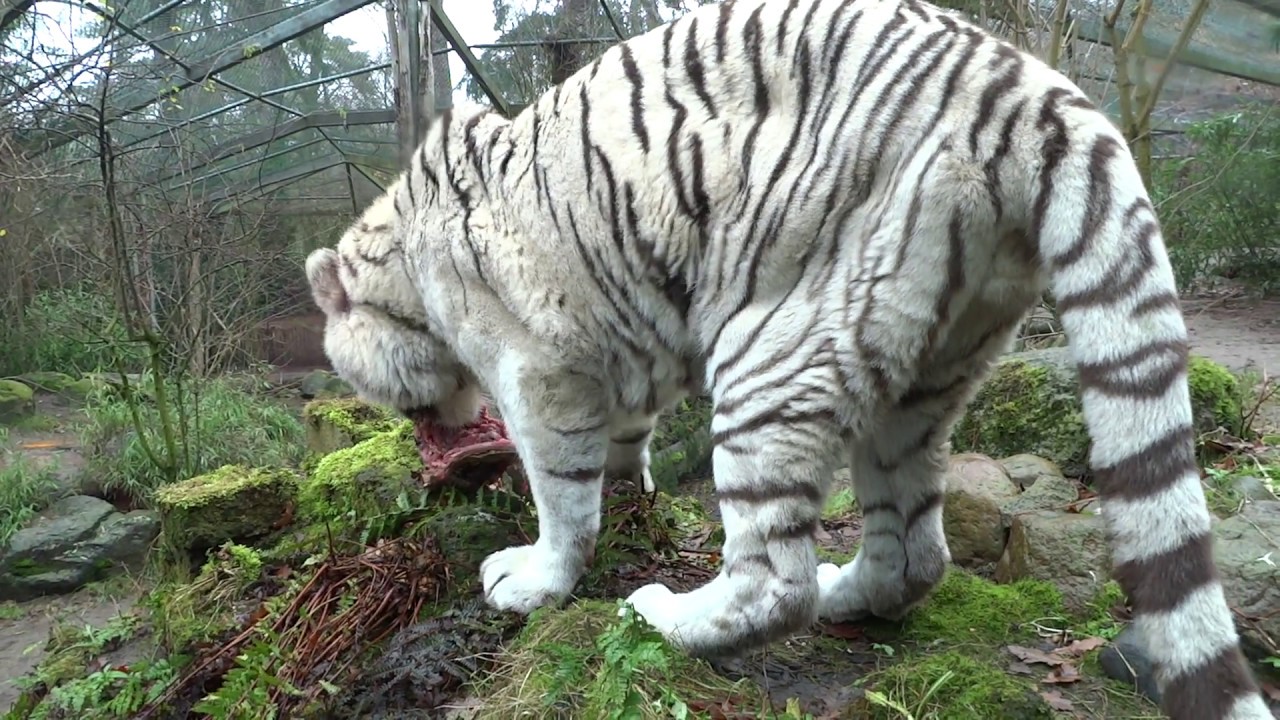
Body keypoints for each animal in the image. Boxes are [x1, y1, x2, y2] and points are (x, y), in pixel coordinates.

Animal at [301, 0, 1269, 716]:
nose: (427, 430)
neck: (402, 260)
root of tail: (1030, 85)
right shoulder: (625, 345)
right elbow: (625, 437)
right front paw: (629, 487)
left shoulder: (541, 369)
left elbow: (561, 490)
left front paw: (536, 579)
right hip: (934, 358)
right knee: (913, 551)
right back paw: (850, 593)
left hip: (769, 346)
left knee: (773, 579)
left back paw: (664, 617)